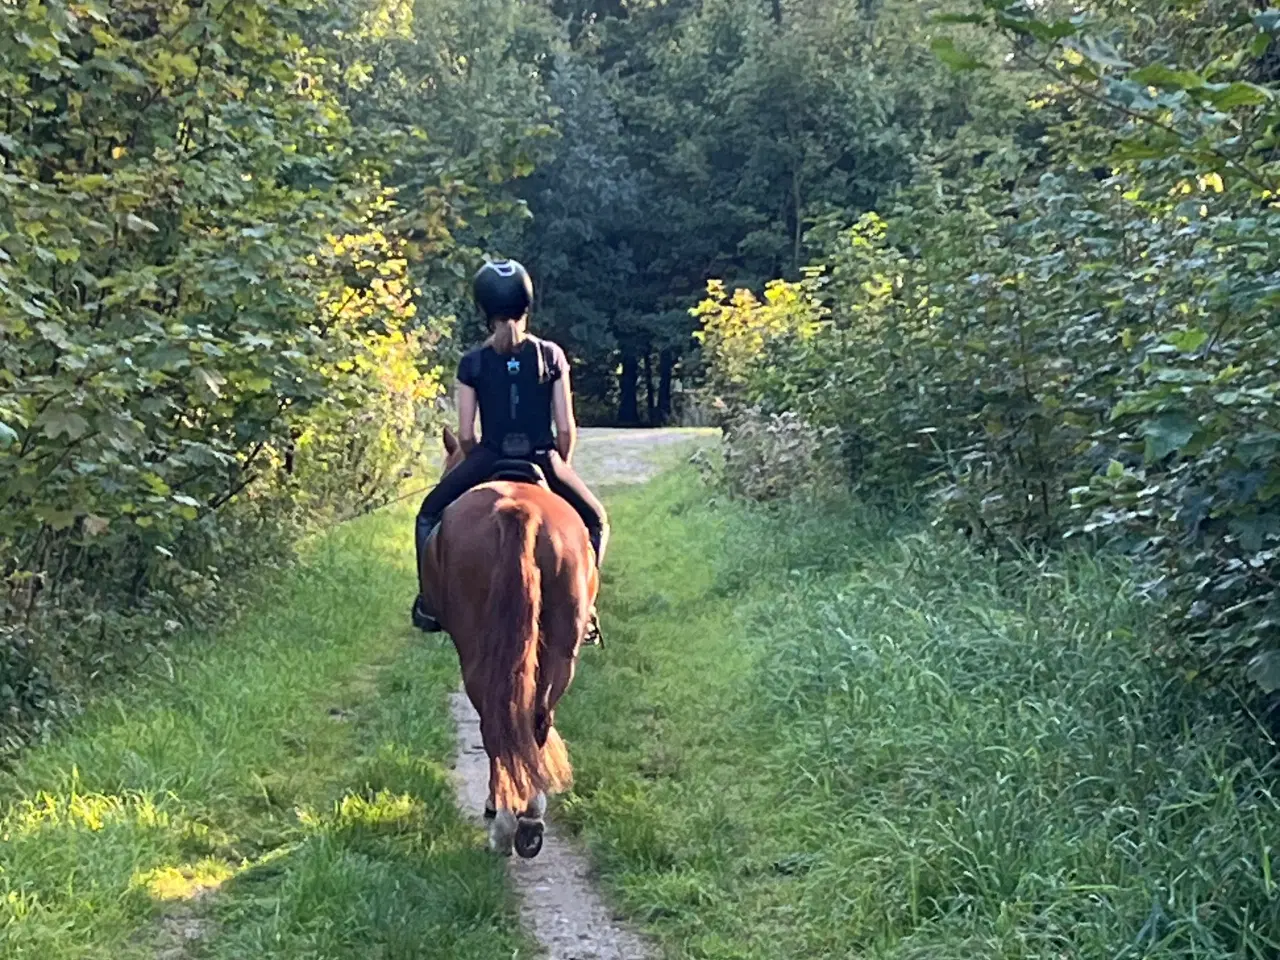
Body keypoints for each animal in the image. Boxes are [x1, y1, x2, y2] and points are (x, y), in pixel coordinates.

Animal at [419, 425, 599, 857]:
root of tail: (520, 510)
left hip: (475, 651)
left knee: (493, 723)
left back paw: (501, 823)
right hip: (561, 652)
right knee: (537, 719)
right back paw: (530, 820)